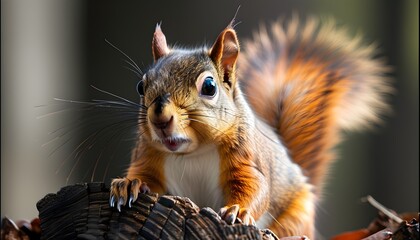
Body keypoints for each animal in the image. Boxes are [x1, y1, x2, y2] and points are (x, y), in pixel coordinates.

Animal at [108, 16, 390, 238]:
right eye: (141, 86)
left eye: (209, 87)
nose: (160, 118)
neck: (192, 153)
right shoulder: (148, 155)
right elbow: (145, 176)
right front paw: (128, 184)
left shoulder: (246, 157)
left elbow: (255, 186)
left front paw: (238, 210)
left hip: (297, 215)